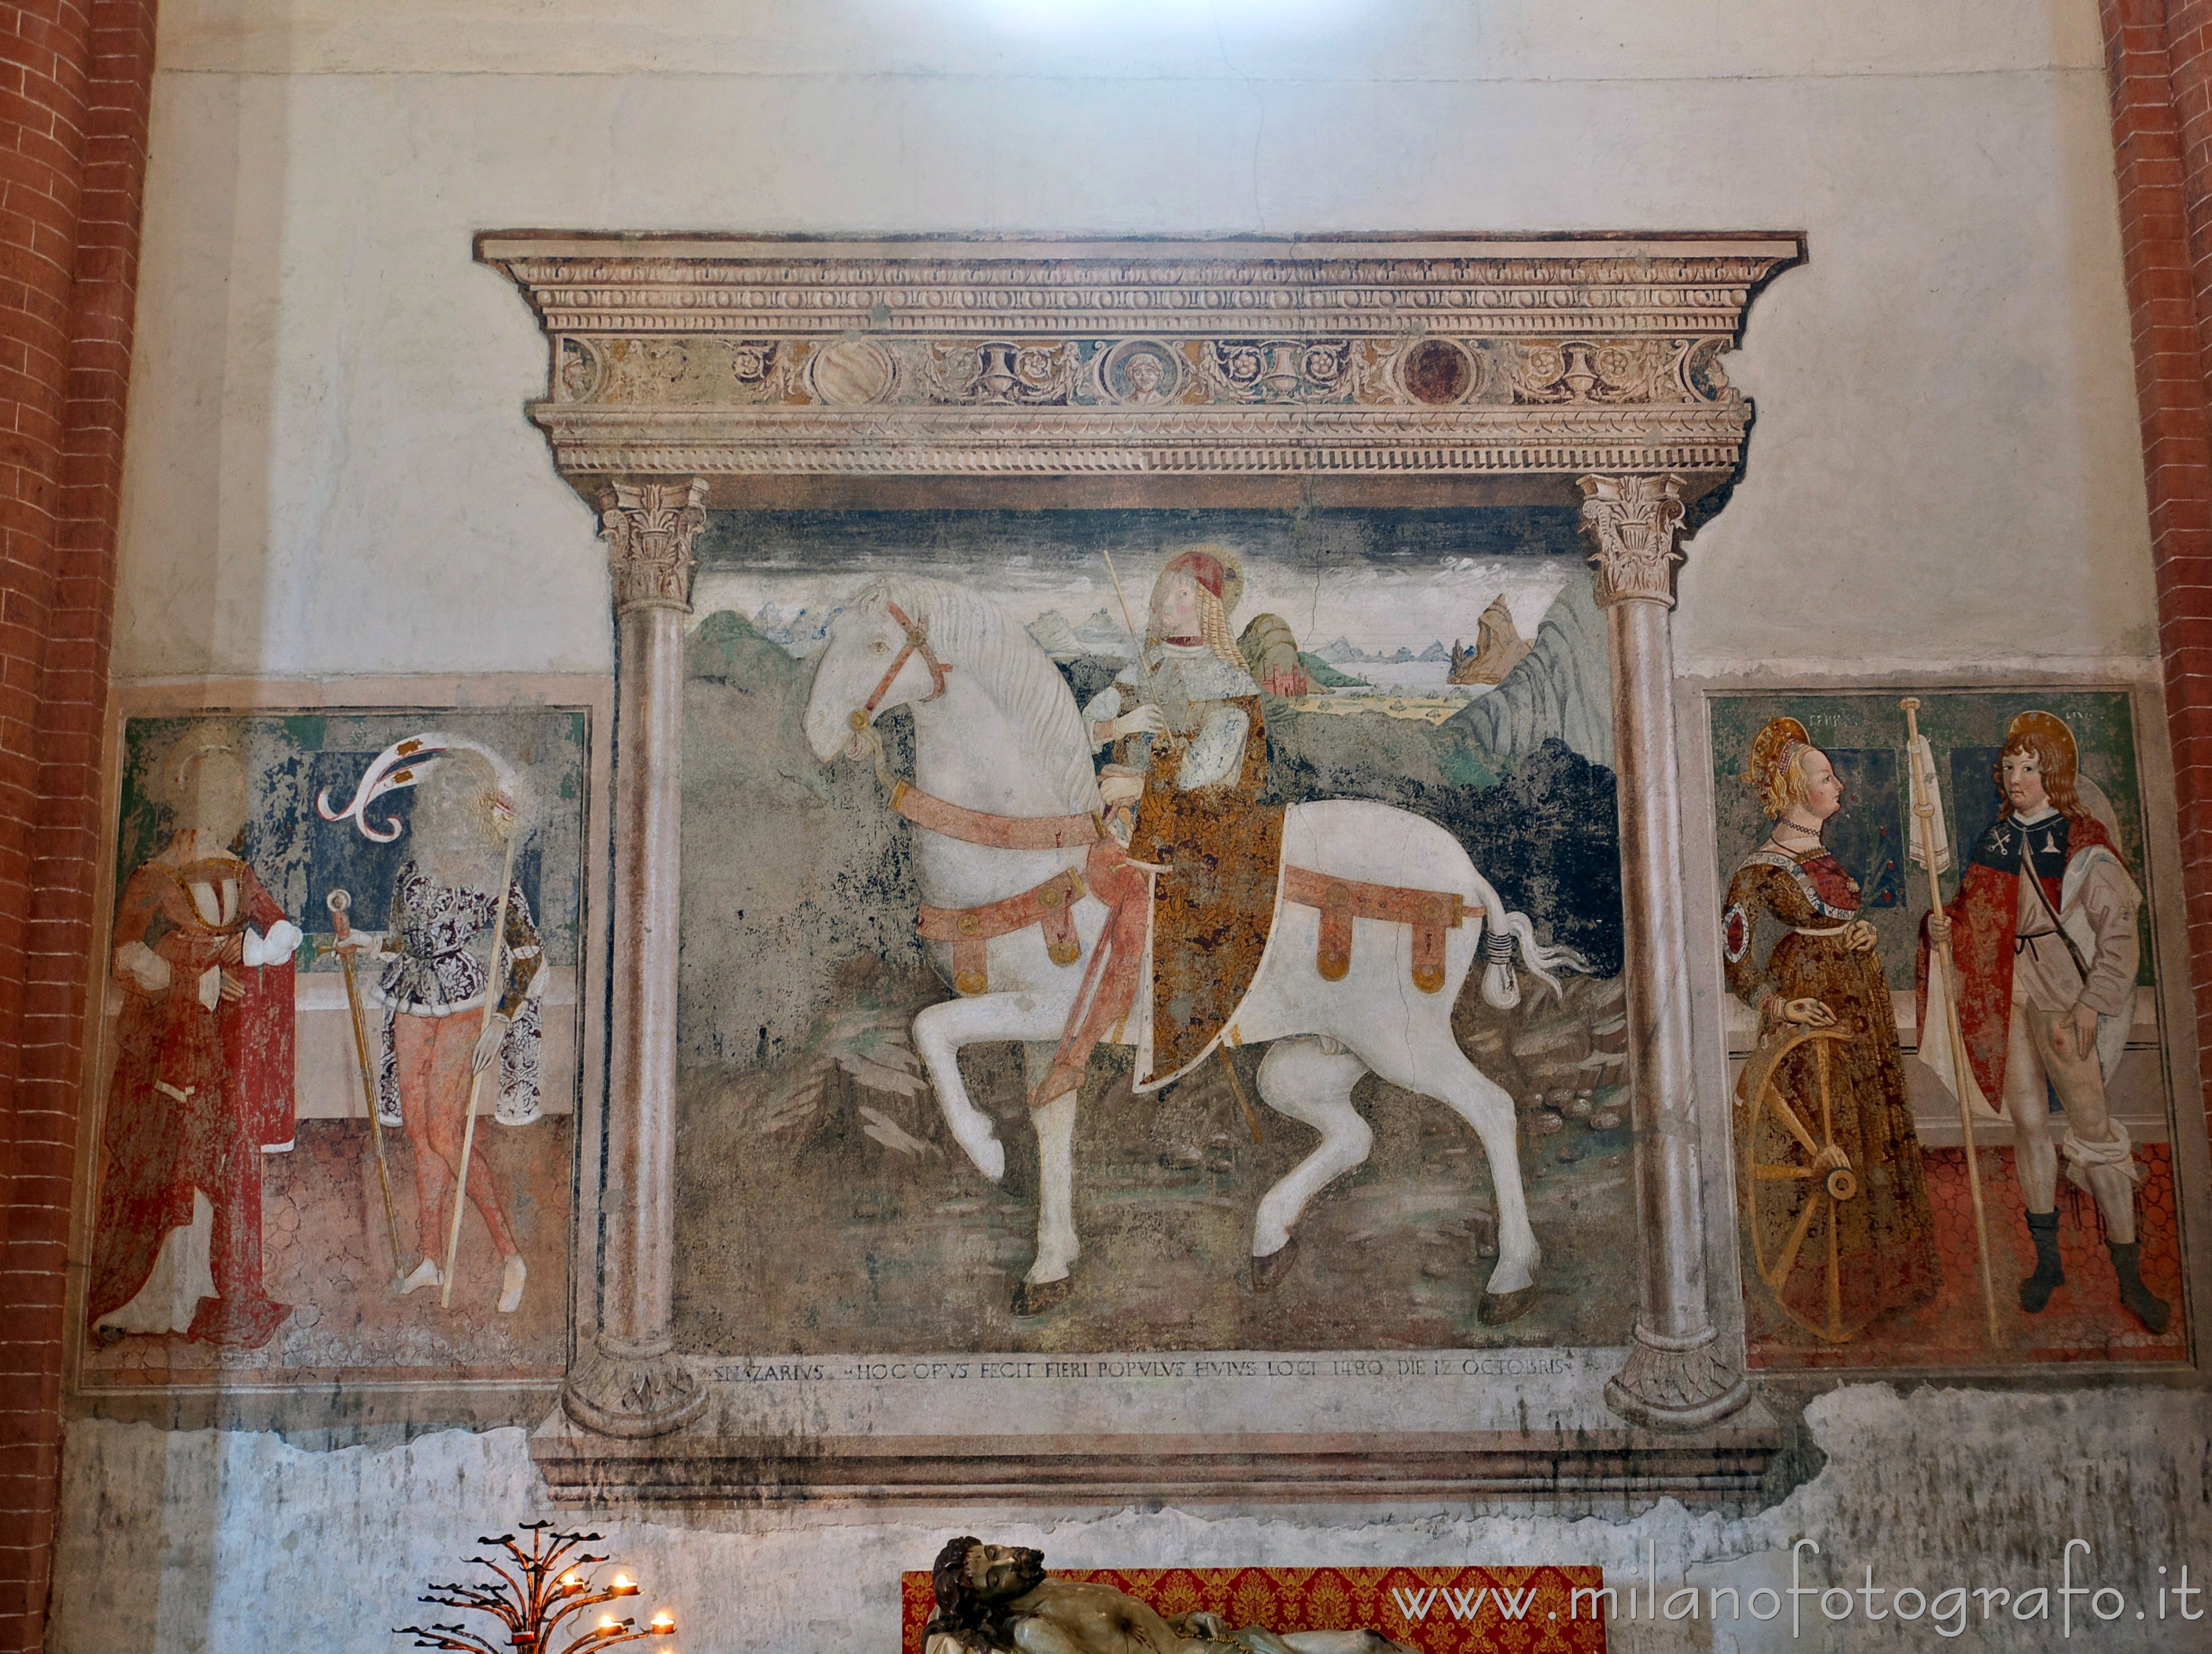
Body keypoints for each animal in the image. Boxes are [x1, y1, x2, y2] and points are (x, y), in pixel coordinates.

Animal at [805, 574, 1584, 1326]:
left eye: (877, 643)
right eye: (832, 633)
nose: (815, 734)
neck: (1038, 845)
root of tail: (1465, 876)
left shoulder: (1045, 1006)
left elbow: (930, 1028)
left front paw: (984, 1150)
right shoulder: (1046, 1032)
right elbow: (1050, 1121)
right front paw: (1050, 1264)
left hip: (1404, 1042)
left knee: (1493, 1109)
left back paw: (1512, 1276)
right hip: (1323, 1052)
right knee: (1352, 1133)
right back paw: (1270, 1240)